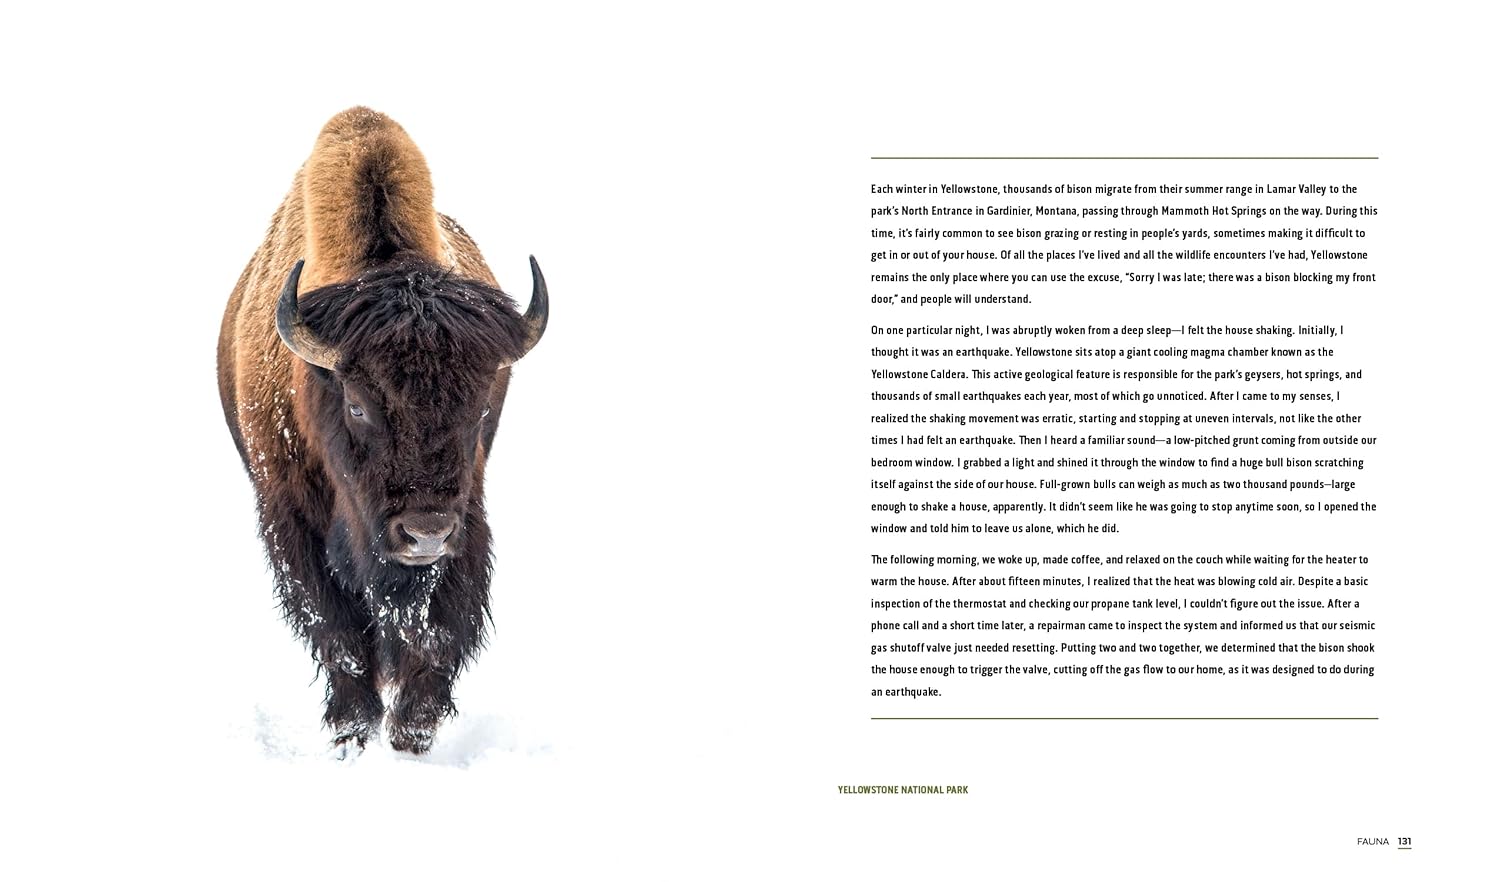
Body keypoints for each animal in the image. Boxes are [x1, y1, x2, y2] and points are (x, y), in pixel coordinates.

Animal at [217, 107, 547, 755]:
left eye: (480, 409)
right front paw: (354, 732)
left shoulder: (467, 518)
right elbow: (337, 631)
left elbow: (439, 628)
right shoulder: (289, 519)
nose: (424, 533)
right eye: (358, 406)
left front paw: (412, 731)